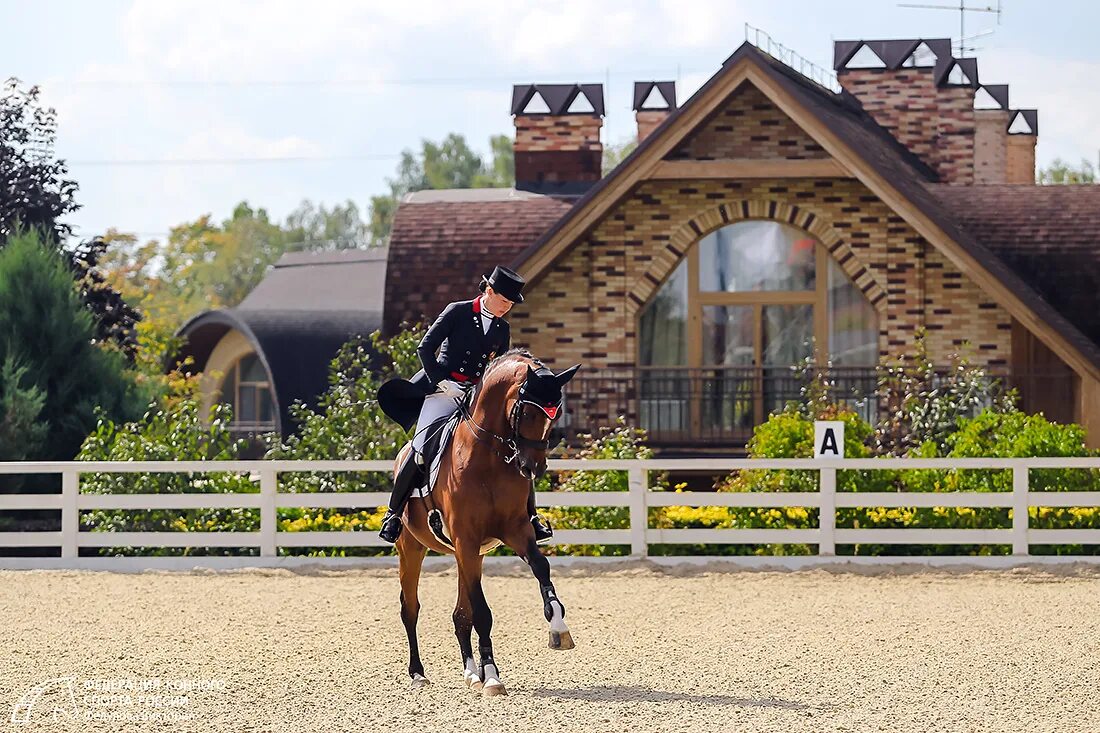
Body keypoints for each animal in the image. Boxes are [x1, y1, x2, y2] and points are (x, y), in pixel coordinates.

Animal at [396, 347, 585, 691]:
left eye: (556, 414)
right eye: (528, 413)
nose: (534, 467)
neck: (487, 456)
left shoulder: (515, 531)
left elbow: (541, 568)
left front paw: (558, 628)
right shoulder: (466, 538)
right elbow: (482, 613)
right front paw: (493, 678)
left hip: (470, 554)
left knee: (460, 614)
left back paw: (472, 672)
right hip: (413, 548)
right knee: (411, 608)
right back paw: (418, 673)